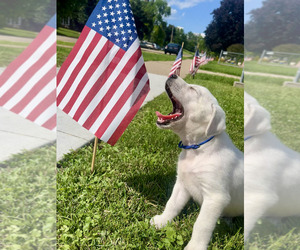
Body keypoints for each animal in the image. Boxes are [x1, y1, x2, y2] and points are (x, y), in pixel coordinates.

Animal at [150, 74, 244, 250]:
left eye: (193, 90)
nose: (173, 74)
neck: (197, 148)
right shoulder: (182, 184)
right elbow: (172, 204)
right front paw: (162, 221)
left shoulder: (215, 197)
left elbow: (202, 225)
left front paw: (195, 246)